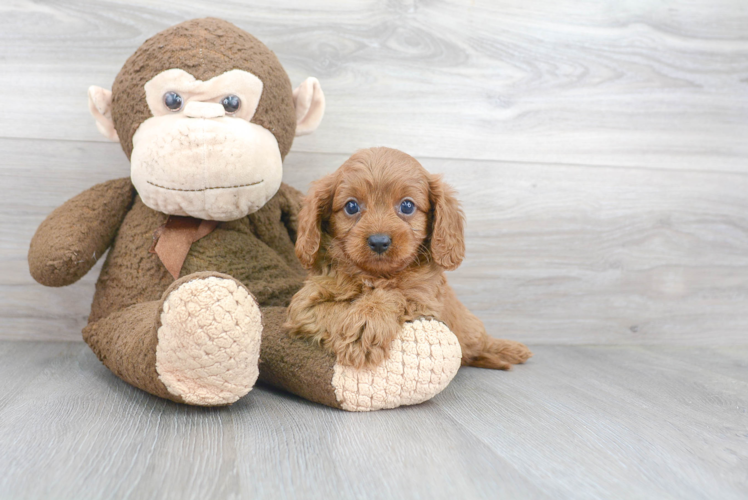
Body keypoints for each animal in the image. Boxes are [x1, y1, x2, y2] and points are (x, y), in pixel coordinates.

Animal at [282, 146, 532, 370]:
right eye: (351, 206)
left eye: (407, 206)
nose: (379, 241)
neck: (376, 275)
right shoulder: (306, 304)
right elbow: (335, 308)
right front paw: (360, 329)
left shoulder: (425, 299)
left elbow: (396, 292)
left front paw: (367, 322)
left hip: (469, 327)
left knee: (482, 341)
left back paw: (512, 350)